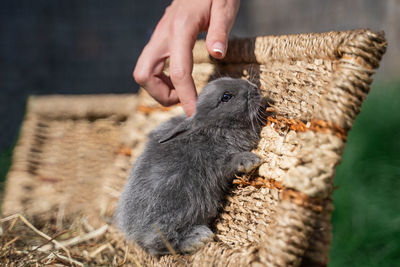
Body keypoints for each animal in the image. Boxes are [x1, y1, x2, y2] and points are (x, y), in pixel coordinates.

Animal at [115, 77, 266, 255]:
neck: (215, 126)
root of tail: (133, 232)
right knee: (161, 243)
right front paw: (252, 161)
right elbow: (232, 160)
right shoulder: (219, 161)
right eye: (226, 97)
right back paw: (199, 238)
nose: (255, 88)